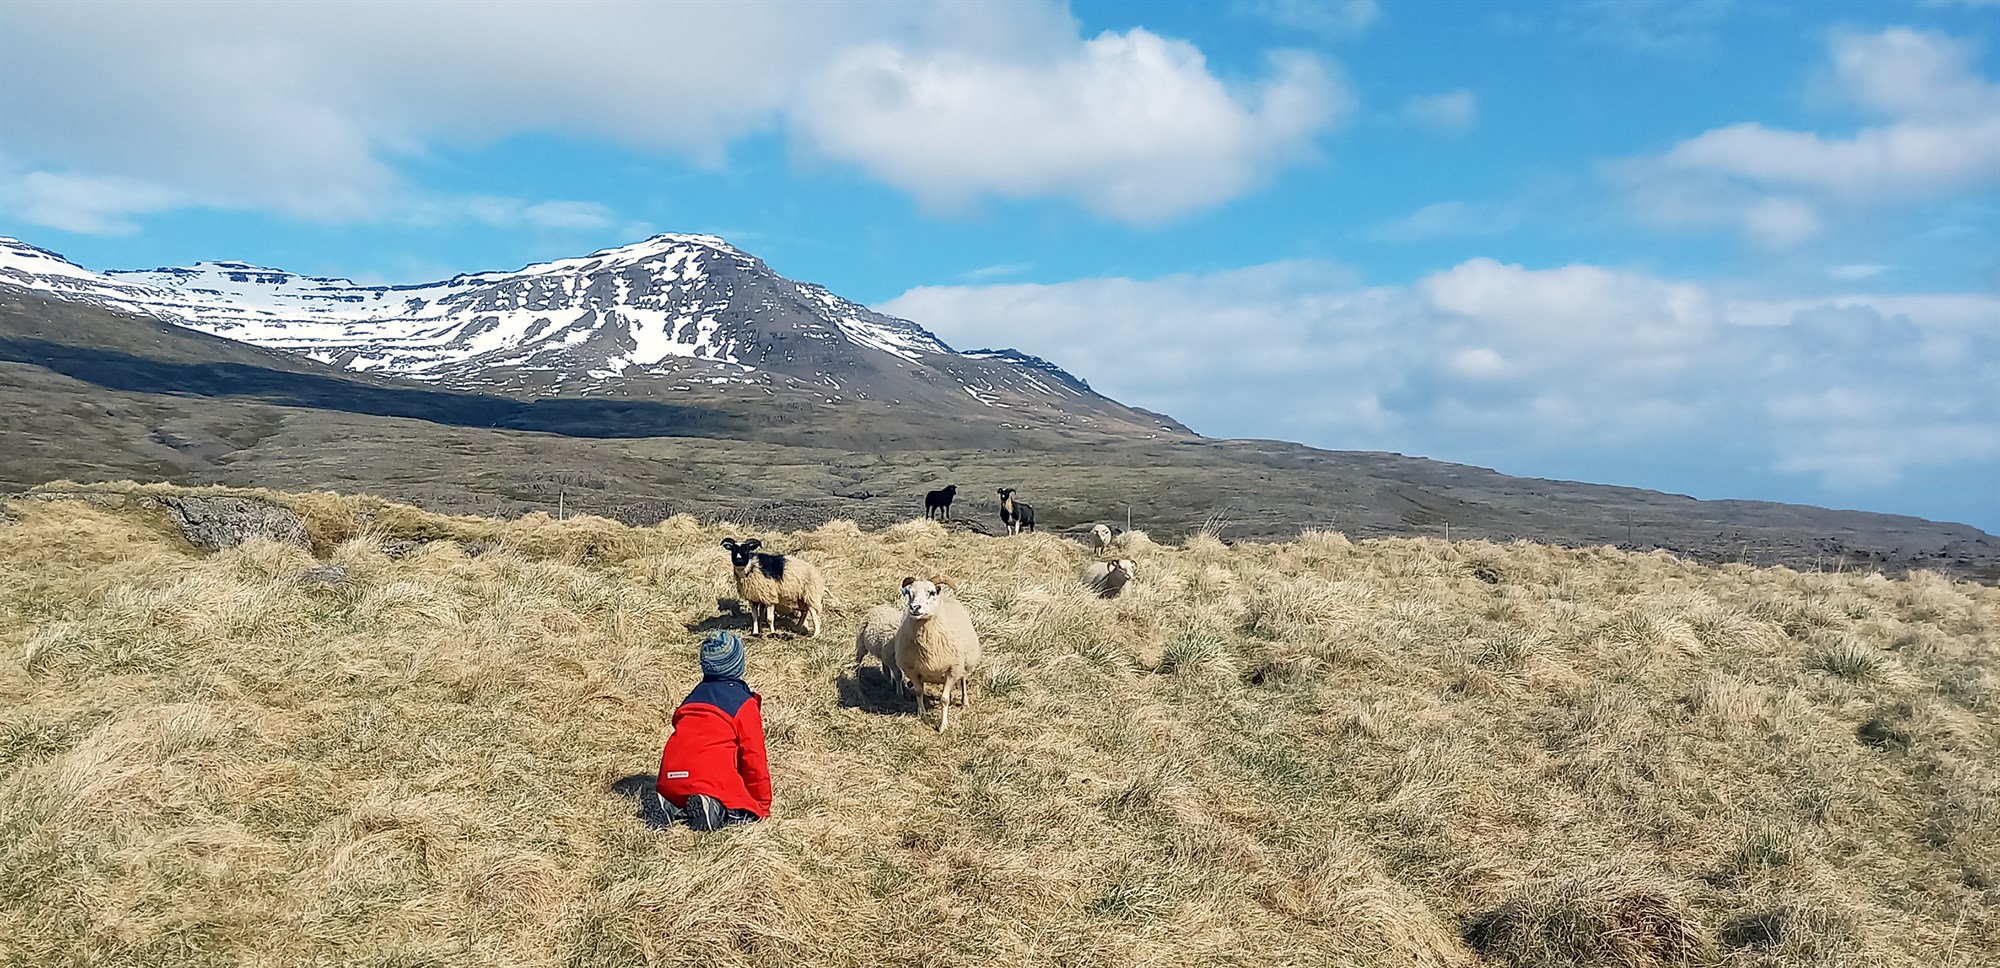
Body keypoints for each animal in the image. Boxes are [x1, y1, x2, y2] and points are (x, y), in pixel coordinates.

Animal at [894, 577, 982, 732]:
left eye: (931, 592)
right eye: (909, 593)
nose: (915, 608)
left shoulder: (953, 670)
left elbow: (944, 699)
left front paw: (943, 725)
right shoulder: (912, 670)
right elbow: (918, 691)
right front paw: (922, 715)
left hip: (965, 664)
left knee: (964, 680)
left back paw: (965, 702)